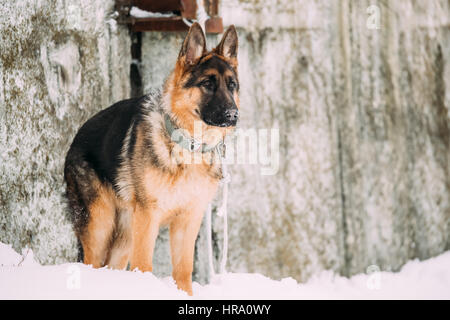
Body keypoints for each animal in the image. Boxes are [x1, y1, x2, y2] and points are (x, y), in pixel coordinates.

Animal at [64, 23, 239, 296]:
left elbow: (183, 271)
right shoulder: (148, 217)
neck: (188, 145)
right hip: (100, 225)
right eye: (207, 84)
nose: (233, 115)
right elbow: (144, 265)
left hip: (124, 235)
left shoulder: (188, 220)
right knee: (91, 262)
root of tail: (76, 137)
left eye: (232, 85)